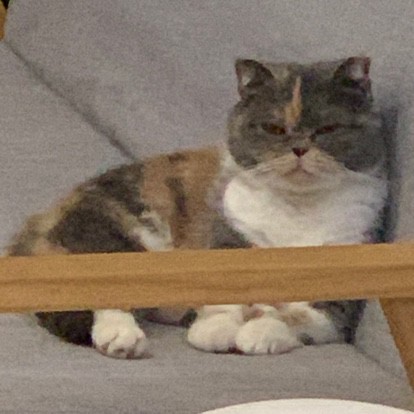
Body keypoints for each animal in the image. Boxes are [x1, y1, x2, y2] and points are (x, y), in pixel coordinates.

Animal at [6, 56, 387, 359]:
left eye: (328, 128)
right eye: (273, 128)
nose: (299, 149)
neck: (297, 210)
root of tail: (39, 221)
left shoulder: (343, 286)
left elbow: (297, 315)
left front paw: (260, 332)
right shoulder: (226, 237)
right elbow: (224, 299)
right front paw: (216, 330)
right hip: (117, 239)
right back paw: (122, 338)